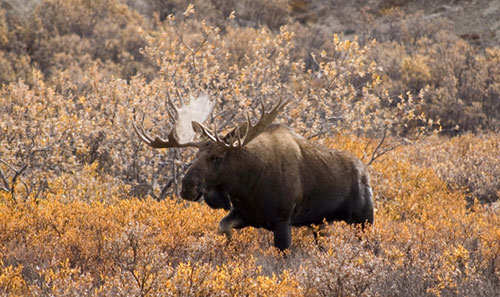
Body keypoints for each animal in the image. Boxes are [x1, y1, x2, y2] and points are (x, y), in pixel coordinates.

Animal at [133, 93, 372, 250]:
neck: (246, 186)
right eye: (196, 155)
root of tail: (364, 172)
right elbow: (223, 228)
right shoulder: (245, 215)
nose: (186, 187)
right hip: (321, 224)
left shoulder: (283, 221)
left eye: (217, 157)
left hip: (364, 220)